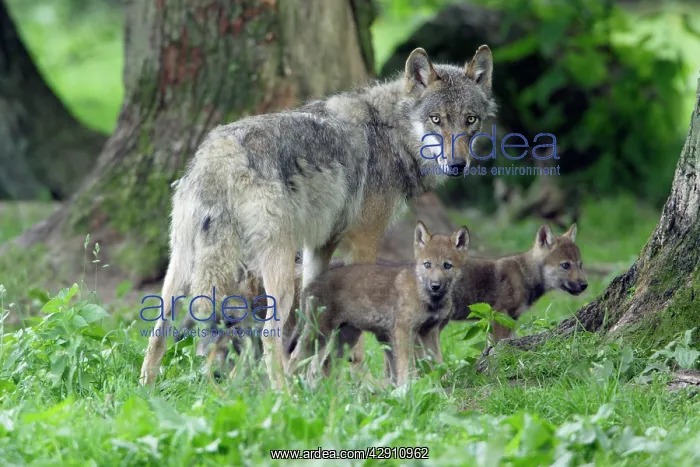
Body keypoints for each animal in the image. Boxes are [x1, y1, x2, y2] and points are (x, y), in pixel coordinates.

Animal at [286, 221, 469, 386]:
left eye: (447, 265)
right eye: (427, 264)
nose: (435, 286)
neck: (428, 298)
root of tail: (310, 285)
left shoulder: (429, 331)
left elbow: (437, 363)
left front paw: (438, 389)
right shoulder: (403, 330)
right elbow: (406, 367)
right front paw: (406, 390)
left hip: (347, 335)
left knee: (327, 363)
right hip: (319, 332)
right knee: (295, 359)